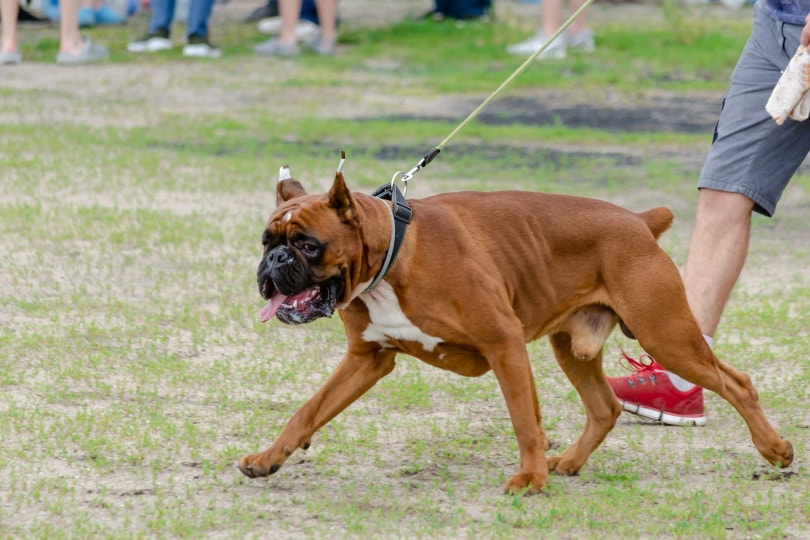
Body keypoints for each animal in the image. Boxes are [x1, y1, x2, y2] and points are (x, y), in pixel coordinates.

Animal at [238, 163, 788, 494]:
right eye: (267, 240)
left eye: (308, 245)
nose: (274, 262)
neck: (392, 255)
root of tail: (638, 220)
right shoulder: (366, 360)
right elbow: (308, 411)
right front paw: (269, 458)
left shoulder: (503, 344)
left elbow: (524, 420)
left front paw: (529, 477)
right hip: (574, 349)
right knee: (605, 408)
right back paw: (571, 462)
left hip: (666, 336)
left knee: (737, 383)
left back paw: (775, 449)